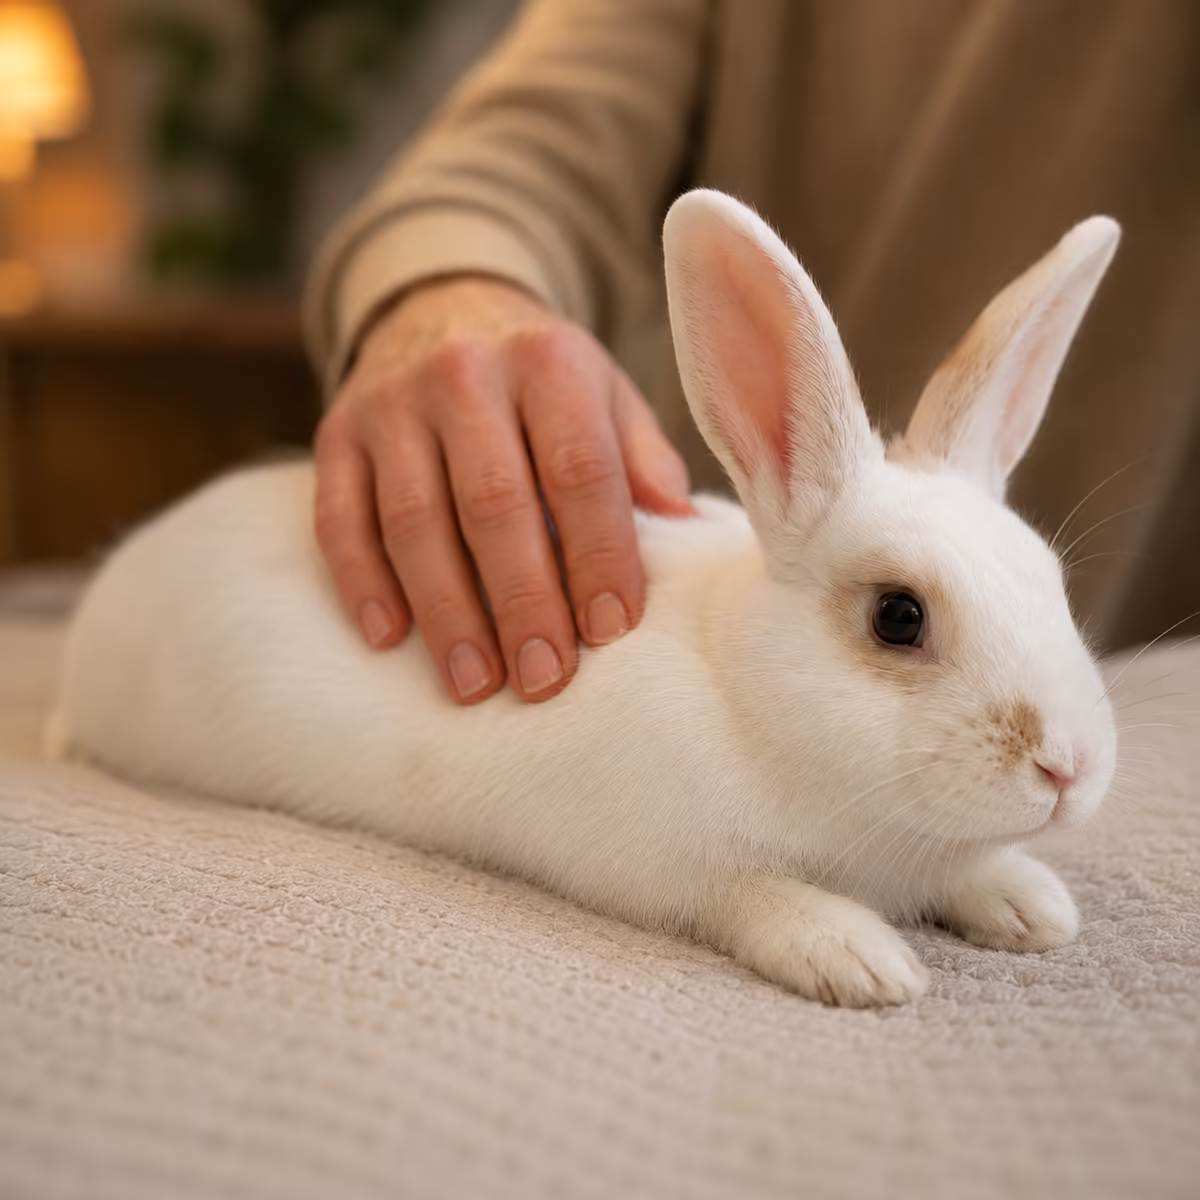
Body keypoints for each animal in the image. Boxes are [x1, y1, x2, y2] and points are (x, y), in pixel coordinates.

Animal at [54, 190, 1120, 1007]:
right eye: (898, 616)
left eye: (1052, 583)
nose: (1068, 767)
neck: (745, 693)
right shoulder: (663, 866)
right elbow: (755, 899)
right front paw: (863, 960)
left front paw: (1031, 904)